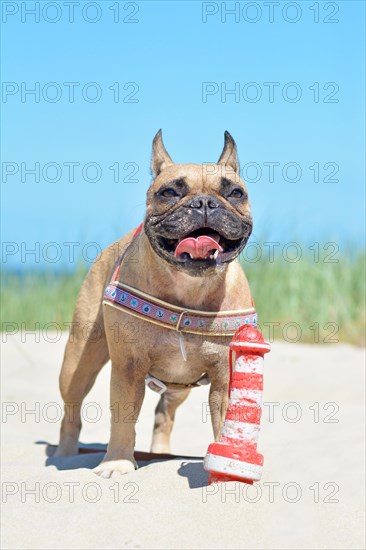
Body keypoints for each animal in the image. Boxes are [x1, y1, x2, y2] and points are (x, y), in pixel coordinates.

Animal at [55, 129, 254, 478]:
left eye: (235, 193)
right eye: (170, 192)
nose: (205, 203)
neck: (190, 289)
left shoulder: (225, 376)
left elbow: (225, 420)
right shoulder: (128, 369)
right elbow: (123, 420)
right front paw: (117, 463)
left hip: (180, 383)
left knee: (165, 413)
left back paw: (160, 453)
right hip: (79, 361)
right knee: (71, 411)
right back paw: (65, 456)